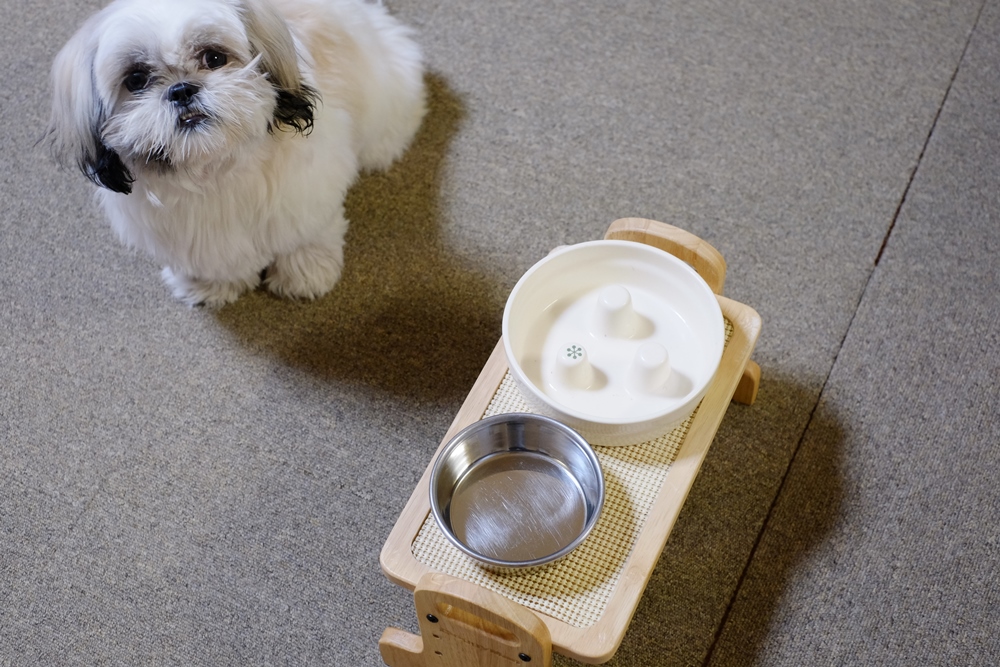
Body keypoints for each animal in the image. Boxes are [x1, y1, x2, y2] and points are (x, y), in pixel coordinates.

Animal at [47, 0, 426, 306]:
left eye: (214, 57)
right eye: (136, 79)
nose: (181, 90)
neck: (216, 168)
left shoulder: (309, 192)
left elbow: (305, 235)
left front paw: (306, 272)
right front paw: (210, 285)